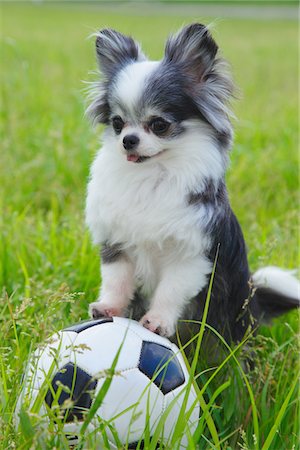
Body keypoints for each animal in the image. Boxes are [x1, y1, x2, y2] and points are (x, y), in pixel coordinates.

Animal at [84, 23, 298, 344]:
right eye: (117, 123)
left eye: (159, 125)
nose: (127, 141)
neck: (152, 176)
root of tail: (254, 304)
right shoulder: (117, 245)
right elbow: (116, 280)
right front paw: (109, 308)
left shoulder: (189, 257)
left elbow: (170, 292)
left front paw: (157, 323)